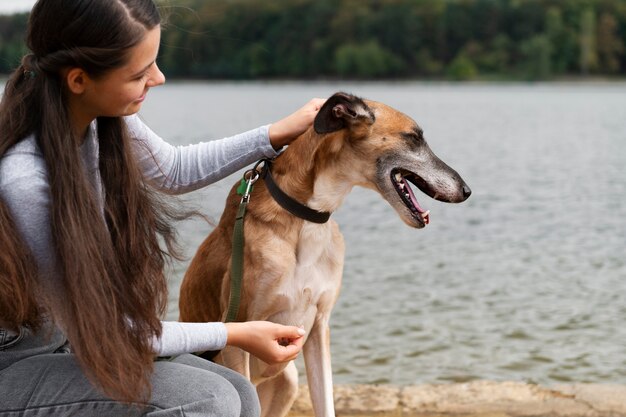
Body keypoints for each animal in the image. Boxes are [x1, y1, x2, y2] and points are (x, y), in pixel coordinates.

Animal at [177, 92, 468, 414]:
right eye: (414, 138)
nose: (466, 191)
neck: (306, 217)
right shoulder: (237, 336)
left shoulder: (318, 327)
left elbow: (326, 402)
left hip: (288, 383)